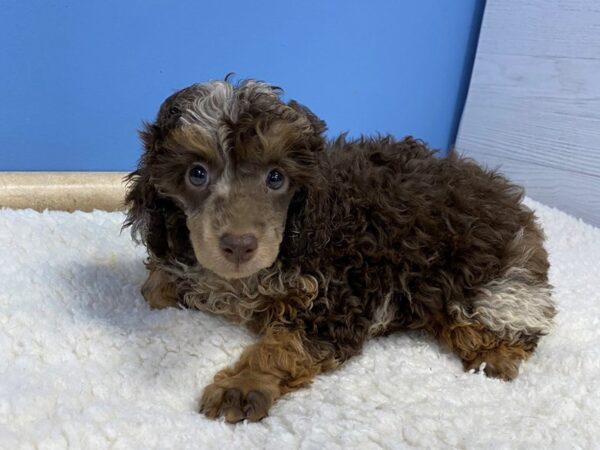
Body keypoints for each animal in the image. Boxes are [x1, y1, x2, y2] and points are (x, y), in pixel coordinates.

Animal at [125, 80, 556, 422]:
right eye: (196, 173)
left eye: (276, 178)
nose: (239, 245)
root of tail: (504, 194)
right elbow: (155, 287)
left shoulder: (337, 301)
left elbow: (285, 345)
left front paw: (243, 385)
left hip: (490, 276)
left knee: (511, 322)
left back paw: (494, 354)